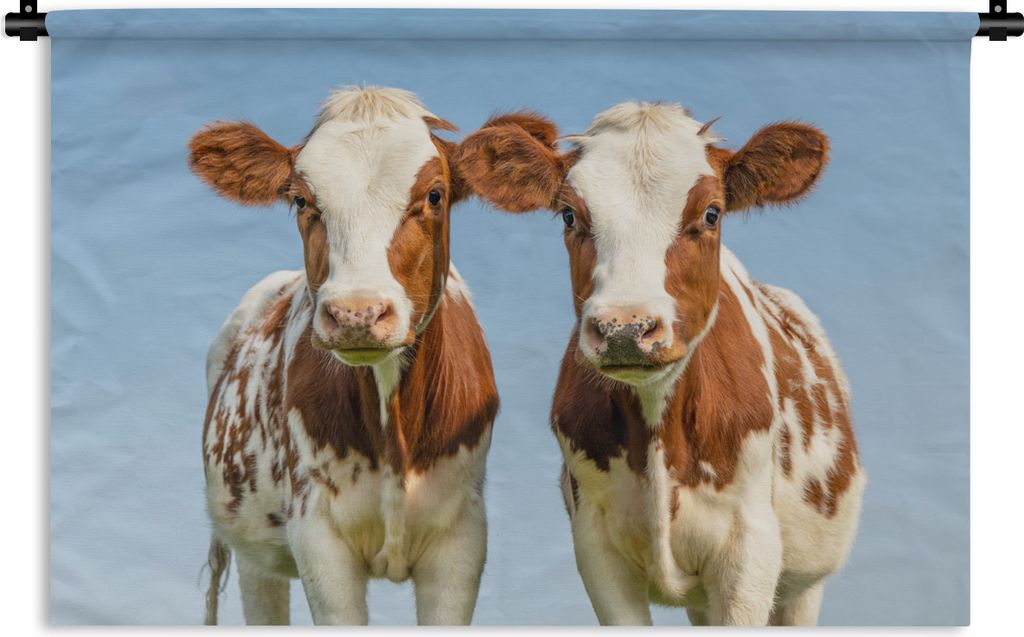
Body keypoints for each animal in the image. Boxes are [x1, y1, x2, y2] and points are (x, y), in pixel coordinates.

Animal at [189, 87, 499, 625]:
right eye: (300, 199)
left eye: (434, 195)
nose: (357, 312)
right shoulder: (318, 537)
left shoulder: (462, 538)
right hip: (253, 552)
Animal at [455, 102, 866, 626]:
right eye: (569, 214)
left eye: (711, 213)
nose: (625, 328)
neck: (659, 430)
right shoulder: (597, 547)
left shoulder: (750, 551)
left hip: (803, 585)